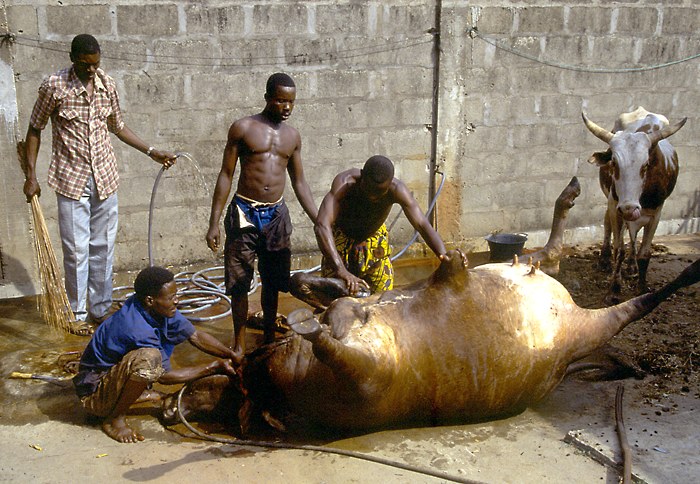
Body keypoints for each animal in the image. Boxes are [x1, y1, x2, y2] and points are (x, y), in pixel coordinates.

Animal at [584, 107, 688, 302]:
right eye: (614, 163)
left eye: (646, 165)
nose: (629, 208)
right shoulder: (614, 206)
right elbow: (619, 249)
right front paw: (614, 290)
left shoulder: (656, 214)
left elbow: (644, 253)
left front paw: (642, 287)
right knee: (609, 227)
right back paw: (604, 260)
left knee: (633, 237)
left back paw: (631, 267)